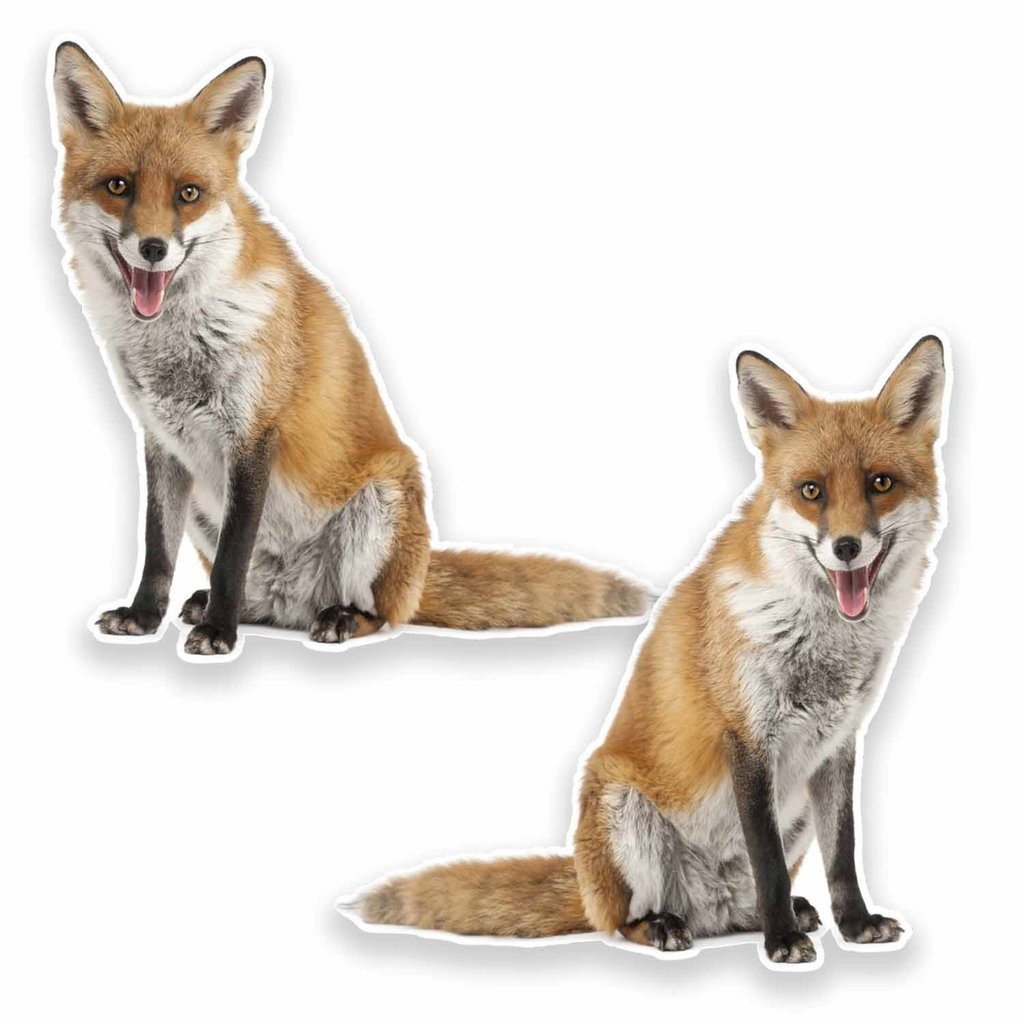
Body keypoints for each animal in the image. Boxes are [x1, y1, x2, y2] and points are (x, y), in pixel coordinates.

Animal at [49, 42, 650, 658]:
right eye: (118, 187)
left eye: (188, 194)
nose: (153, 248)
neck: (177, 340)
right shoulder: (162, 439)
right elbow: (157, 547)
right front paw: (146, 617)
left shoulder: (255, 434)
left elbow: (233, 556)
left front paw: (219, 632)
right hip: (207, 507)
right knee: (259, 595)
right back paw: (223, 608)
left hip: (379, 505)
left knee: (381, 614)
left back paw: (328, 617)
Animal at [349, 337, 948, 967]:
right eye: (813, 491)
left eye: (880, 484)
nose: (847, 547)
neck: (823, 642)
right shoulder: (745, 736)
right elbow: (768, 861)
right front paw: (782, 940)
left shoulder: (837, 743)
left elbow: (843, 853)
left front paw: (853, 924)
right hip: (621, 808)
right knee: (622, 921)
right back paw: (674, 925)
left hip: (791, 812)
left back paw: (776, 915)